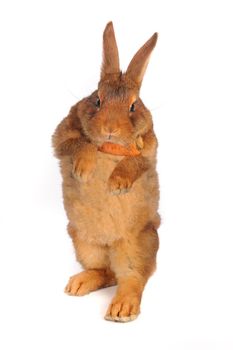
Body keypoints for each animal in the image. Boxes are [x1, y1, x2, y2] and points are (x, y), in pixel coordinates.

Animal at [51, 21, 159, 322]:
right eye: (97, 100)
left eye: (133, 105)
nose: (110, 128)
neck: (110, 146)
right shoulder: (61, 137)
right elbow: (80, 143)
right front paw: (84, 170)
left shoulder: (148, 151)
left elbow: (136, 163)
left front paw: (117, 184)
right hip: (84, 242)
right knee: (106, 272)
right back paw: (78, 284)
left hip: (136, 245)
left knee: (132, 278)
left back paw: (122, 308)